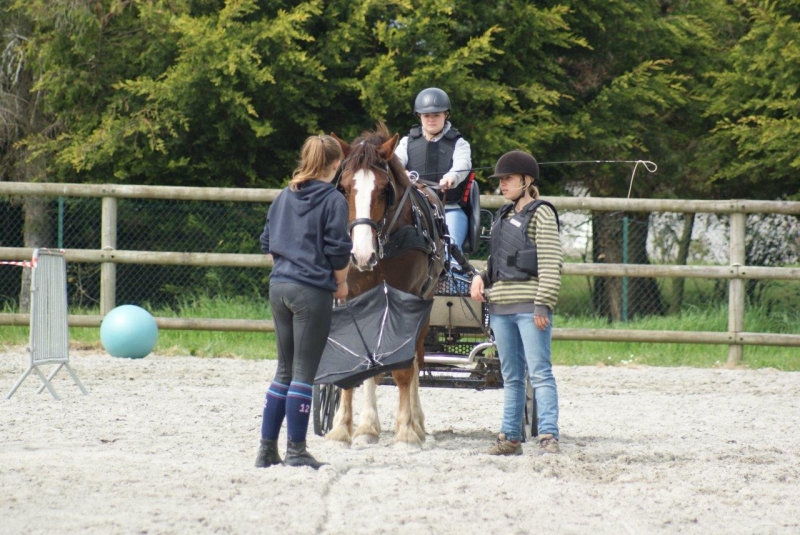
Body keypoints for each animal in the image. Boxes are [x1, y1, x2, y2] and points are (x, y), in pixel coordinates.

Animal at [328, 125, 446, 448]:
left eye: (384, 190)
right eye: (344, 188)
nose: (361, 255)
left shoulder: (407, 299)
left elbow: (405, 369)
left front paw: (406, 432)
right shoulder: (352, 299)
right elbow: (361, 363)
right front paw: (349, 429)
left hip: (425, 304)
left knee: (416, 359)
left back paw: (417, 425)